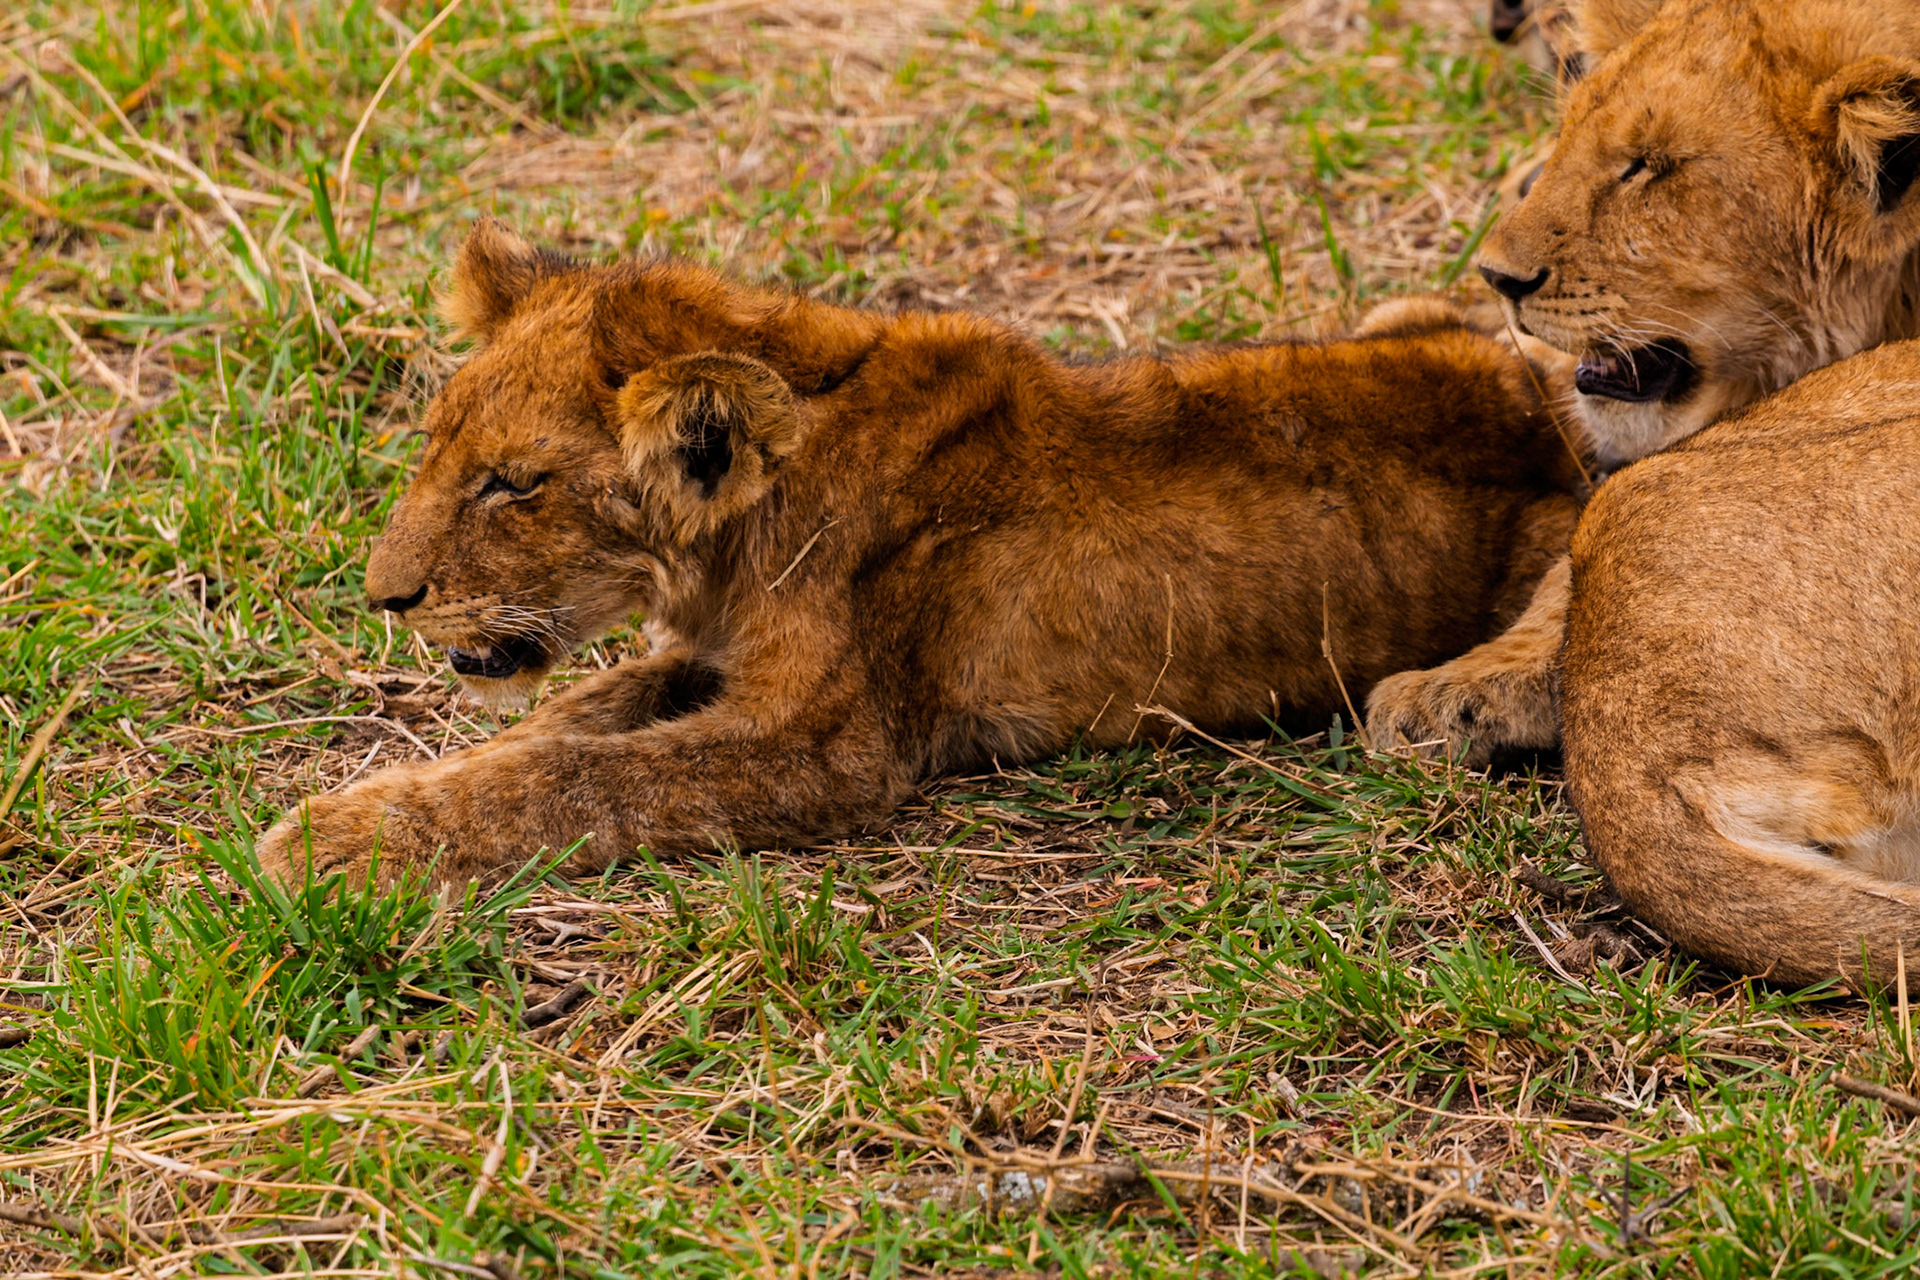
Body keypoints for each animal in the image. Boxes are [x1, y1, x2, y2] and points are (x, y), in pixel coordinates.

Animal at [256, 221, 1584, 888]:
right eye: (438, 445)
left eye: (515, 483)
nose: (383, 598)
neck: (738, 538)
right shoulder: (715, 659)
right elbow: (569, 721)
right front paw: (384, 790)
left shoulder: (829, 748)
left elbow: (578, 776)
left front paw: (331, 838)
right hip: (1428, 319)